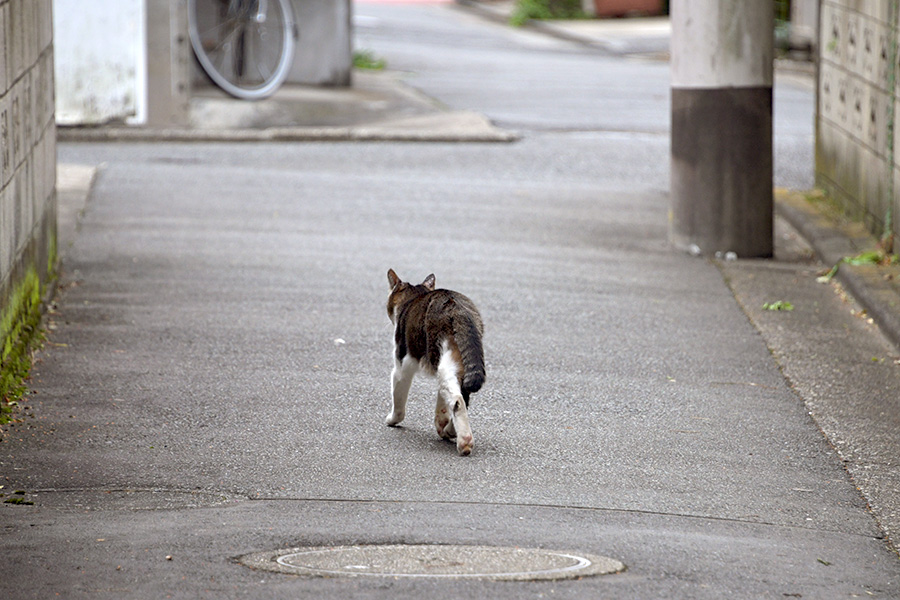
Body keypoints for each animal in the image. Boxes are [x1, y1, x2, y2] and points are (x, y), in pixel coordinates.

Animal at [384, 270, 486, 458]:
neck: (414, 297)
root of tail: (456, 306)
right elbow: (441, 403)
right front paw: (441, 421)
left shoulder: (402, 365)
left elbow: (398, 400)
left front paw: (392, 420)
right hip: (455, 363)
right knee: (461, 395)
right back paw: (450, 431)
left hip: (442, 358)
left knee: (458, 400)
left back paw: (464, 441)